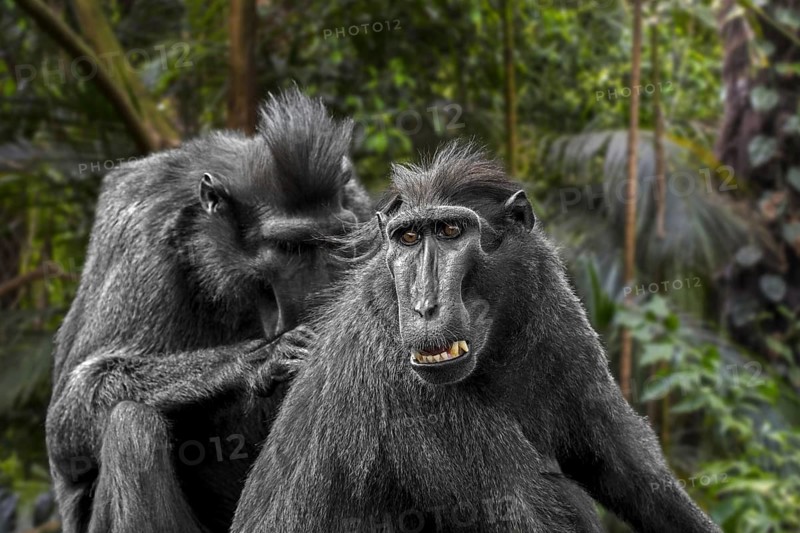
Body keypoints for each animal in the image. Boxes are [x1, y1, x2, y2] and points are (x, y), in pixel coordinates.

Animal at [46, 89, 372, 533]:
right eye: (290, 247)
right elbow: (67, 418)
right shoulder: (145, 241)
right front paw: (254, 360)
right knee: (130, 427)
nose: (319, 296)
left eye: (335, 239)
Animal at [231, 142, 722, 533]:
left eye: (450, 231)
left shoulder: (552, 304)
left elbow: (620, 457)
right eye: (408, 238)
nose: (423, 305)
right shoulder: (411, 391)